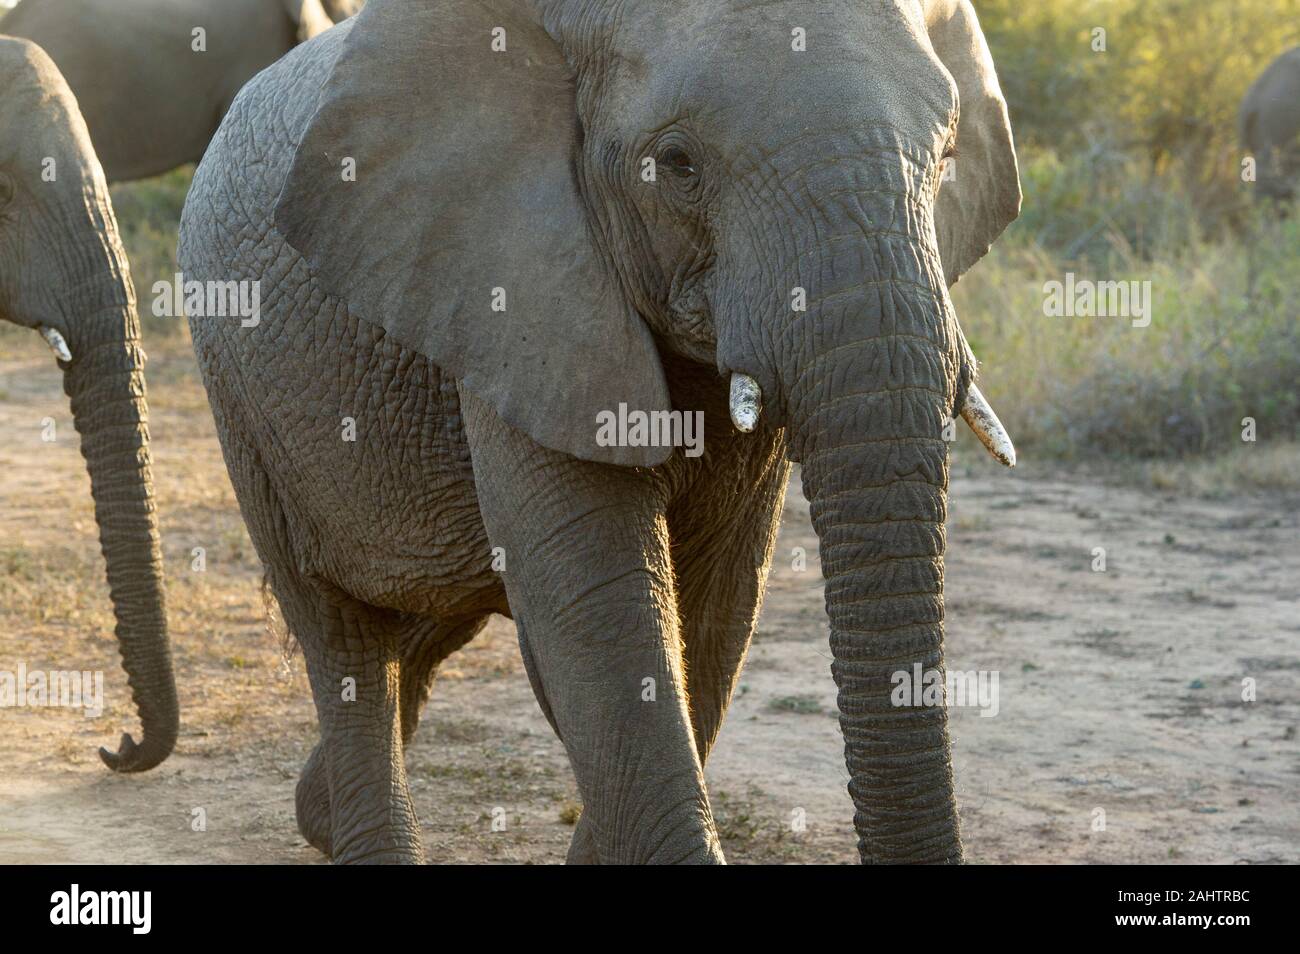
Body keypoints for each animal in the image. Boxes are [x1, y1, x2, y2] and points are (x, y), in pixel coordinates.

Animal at [178, 0, 1019, 868]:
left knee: (439, 606)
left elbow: (715, 606)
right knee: (339, 628)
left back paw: (318, 810)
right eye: (677, 164)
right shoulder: (515, 287)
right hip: (237, 389)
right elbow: (598, 606)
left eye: (948, 157)